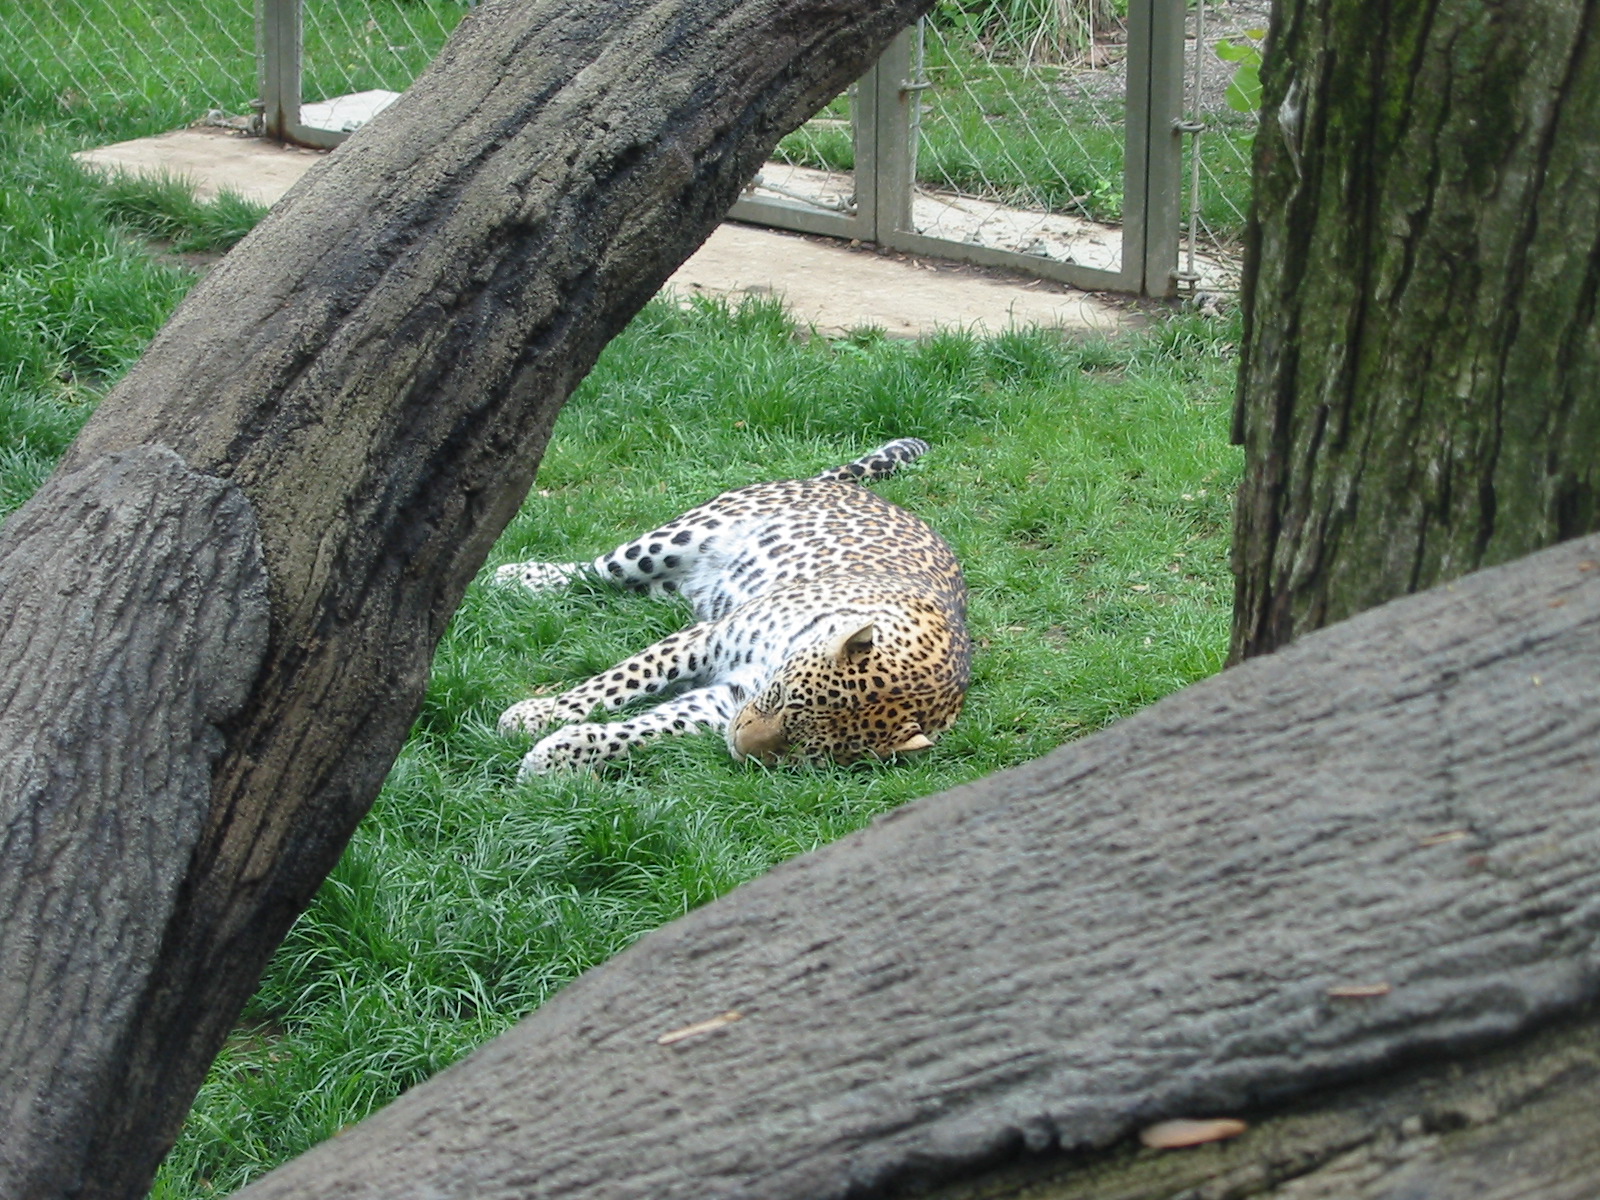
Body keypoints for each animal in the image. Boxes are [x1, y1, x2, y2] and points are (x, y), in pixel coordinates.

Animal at [495, 437, 971, 777]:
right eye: (781, 698)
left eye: (811, 753)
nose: (741, 748)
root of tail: (827, 484)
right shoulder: (706, 639)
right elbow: (617, 683)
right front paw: (535, 715)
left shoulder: (728, 698)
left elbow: (648, 728)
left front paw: (560, 754)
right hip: (673, 539)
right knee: (593, 570)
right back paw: (516, 576)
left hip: (671, 588)